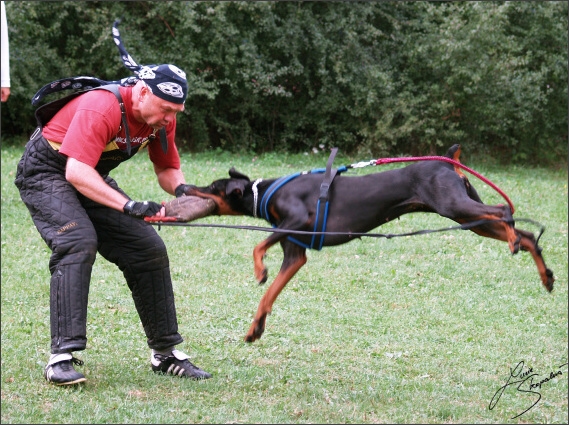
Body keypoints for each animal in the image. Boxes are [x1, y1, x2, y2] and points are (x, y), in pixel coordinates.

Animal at [182, 144, 556, 342]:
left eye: (212, 187)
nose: (183, 187)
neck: (266, 192)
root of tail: (449, 162)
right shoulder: (295, 253)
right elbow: (270, 294)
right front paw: (255, 327)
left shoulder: (295, 222)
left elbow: (258, 247)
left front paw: (260, 270)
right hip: (468, 218)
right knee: (524, 233)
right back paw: (545, 274)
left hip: (456, 206)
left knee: (505, 210)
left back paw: (514, 240)